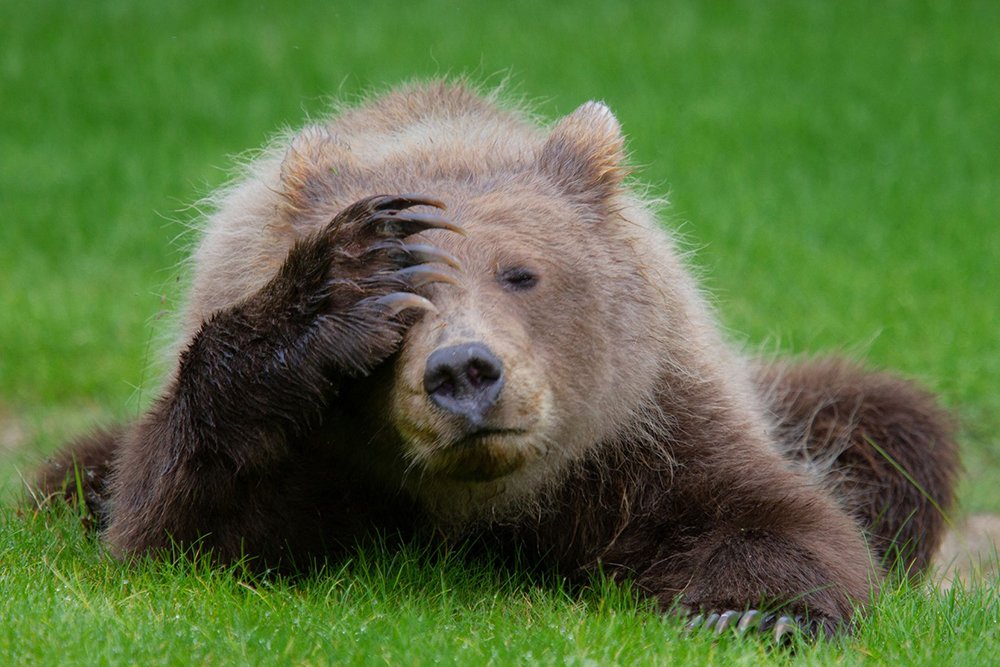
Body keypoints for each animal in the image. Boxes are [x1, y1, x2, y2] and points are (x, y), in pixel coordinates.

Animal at [35, 81, 958, 638]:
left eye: (520, 272)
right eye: (406, 300)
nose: (463, 371)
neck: (479, 502)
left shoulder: (642, 426)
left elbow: (770, 517)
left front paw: (755, 615)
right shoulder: (313, 455)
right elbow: (178, 522)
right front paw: (332, 288)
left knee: (890, 425)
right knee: (66, 477)